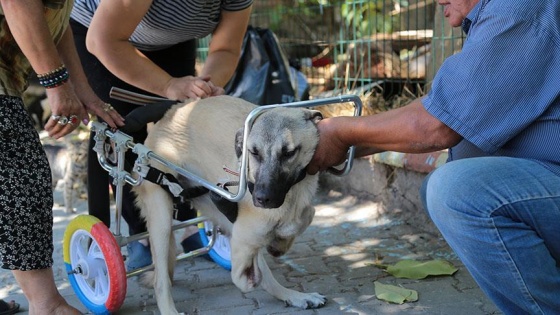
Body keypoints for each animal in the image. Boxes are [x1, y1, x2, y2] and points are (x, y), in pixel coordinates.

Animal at [132, 95, 328, 314]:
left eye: (289, 153)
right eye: (254, 152)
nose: (261, 198)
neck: (292, 193)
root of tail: (169, 114)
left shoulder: (257, 227)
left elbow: (305, 216)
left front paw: (278, 244)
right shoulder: (244, 235)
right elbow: (241, 277)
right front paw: (255, 272)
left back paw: (292, 296)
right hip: (162, 221)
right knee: (160, 280)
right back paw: (169, 309)